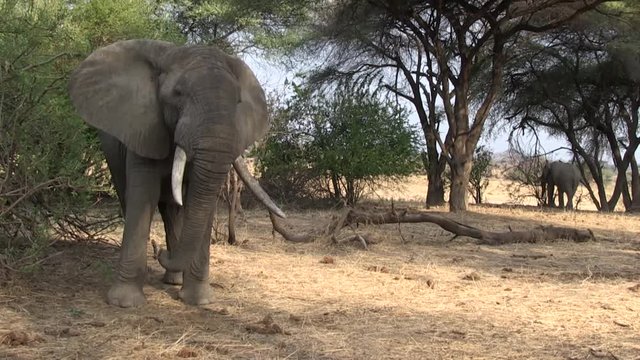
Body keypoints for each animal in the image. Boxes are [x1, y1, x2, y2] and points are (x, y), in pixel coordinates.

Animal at [68, 40, 284, 308]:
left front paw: (199, 301)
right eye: (178, 94)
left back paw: (173, 279)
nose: (159, 249)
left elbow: (200, 200)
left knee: (173, 210)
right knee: (130, 197)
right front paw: (125, 303)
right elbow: (144, 195)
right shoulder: (144, 129)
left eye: (237, 102)